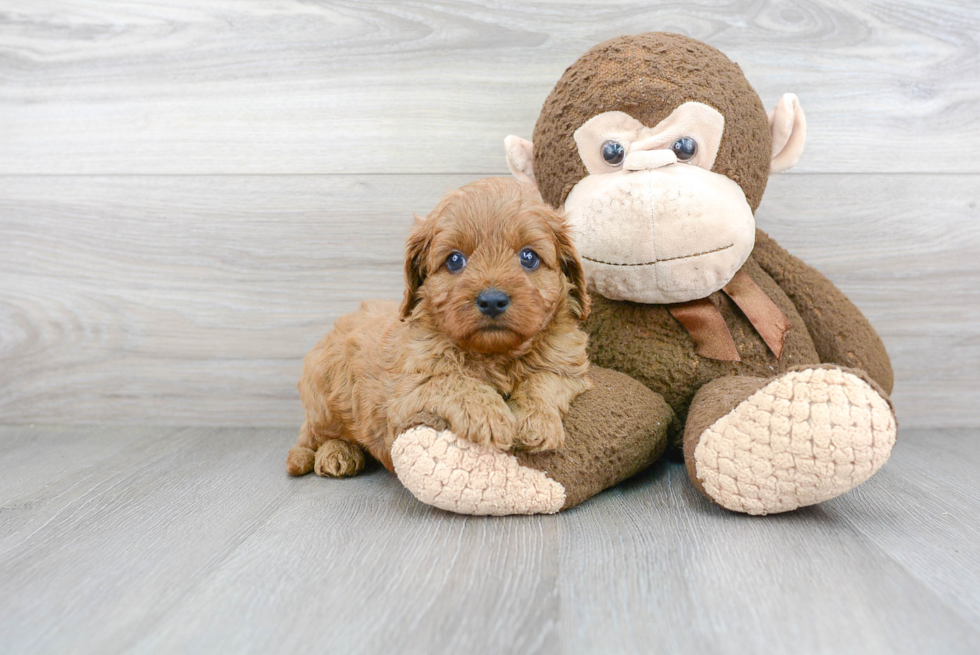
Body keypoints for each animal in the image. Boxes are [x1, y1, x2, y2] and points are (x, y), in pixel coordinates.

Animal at [284, 177, 588, 480]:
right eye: (454, 260)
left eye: (528, 257)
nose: (492, 300)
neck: (496, 355)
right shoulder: (407, 391)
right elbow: (452, 381)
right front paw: (489, 416)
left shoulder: (569, 369)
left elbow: (543, 381)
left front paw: (535, 422)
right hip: (325, 397)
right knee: (313, 438)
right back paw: (336, 454)